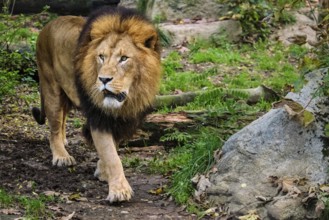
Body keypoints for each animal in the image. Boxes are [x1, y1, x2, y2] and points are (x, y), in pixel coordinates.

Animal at [31, 6, 162, 203]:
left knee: (62, 117)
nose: (103, 79)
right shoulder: (98, 117)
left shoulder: (122, 119)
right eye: (101, 57)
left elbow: (112, 147)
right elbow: (111, 155)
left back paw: (64, 140)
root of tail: (48, 25)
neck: (129, 96)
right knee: (53, 128)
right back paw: (61, 156)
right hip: (51, 88)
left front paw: (102, 171)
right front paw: (119, 191)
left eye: (124, 58)